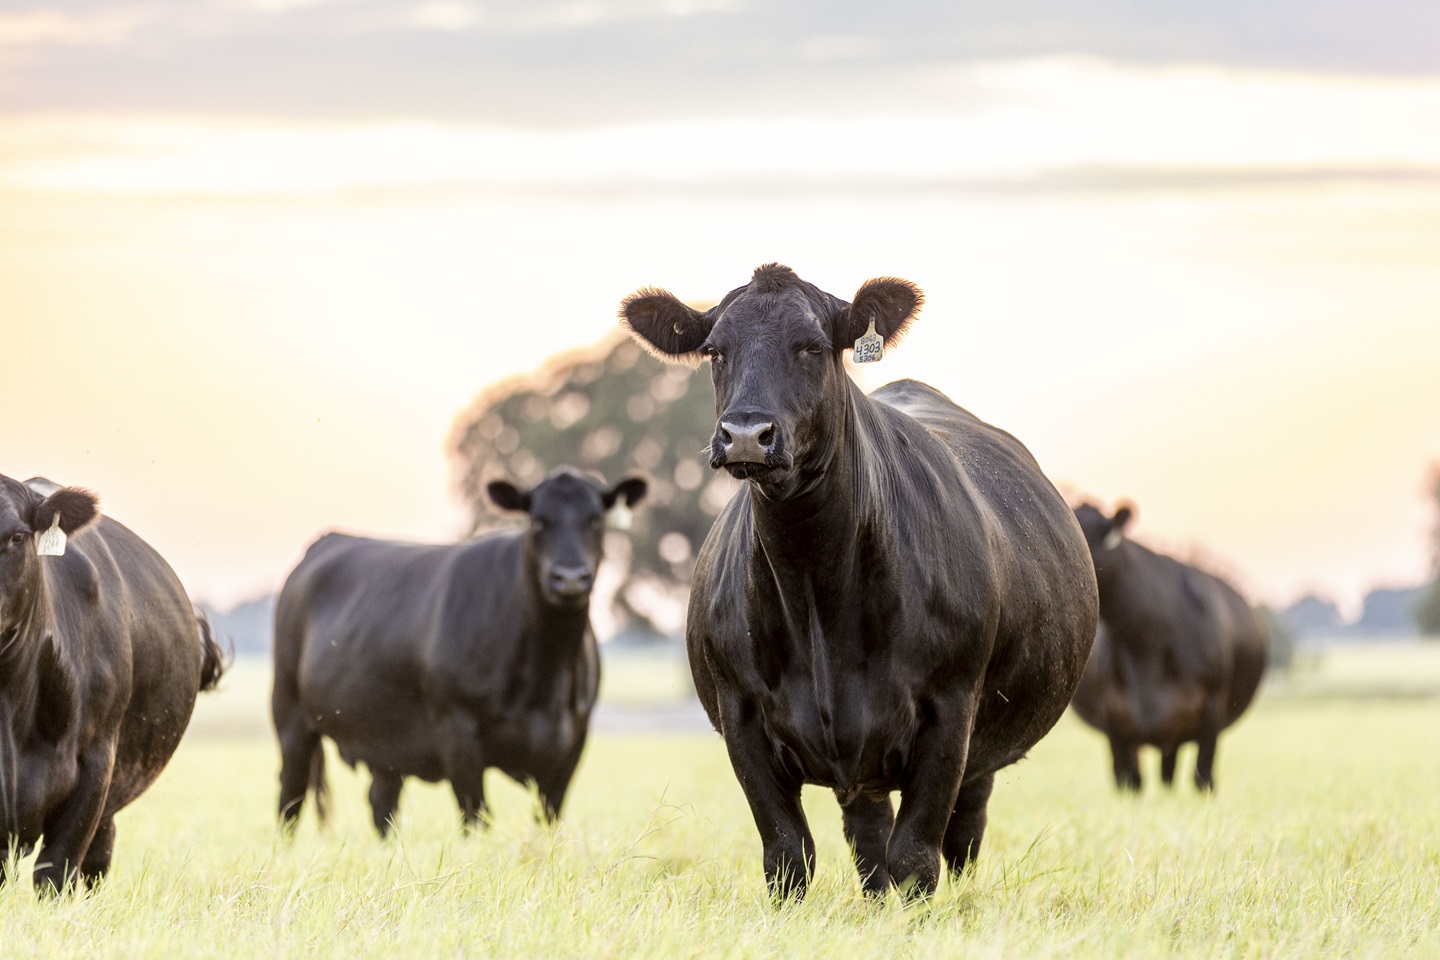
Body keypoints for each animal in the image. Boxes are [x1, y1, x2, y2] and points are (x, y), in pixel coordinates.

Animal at [271, 468, 647, 836]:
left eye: (595, 520)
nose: (569, 578)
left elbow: (547, 819)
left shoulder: (572, 744)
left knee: (381, 804)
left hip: (386, 744)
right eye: (538, 521)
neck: (546, 673)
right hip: (290, 716)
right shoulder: (458, 734)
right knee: (290, 797)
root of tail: (330, 539)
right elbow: (476, 817)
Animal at [620, 263, 1099, 901]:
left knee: (962, 836)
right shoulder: (740, 717)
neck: (815, 590)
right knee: (868, 837)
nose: (746, 434)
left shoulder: (950, 713)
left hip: (979, 749)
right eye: (715, 350)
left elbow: (916, 859)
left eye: (813, 346)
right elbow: (788, 856)